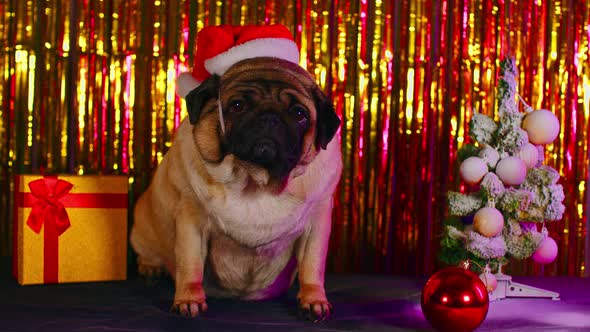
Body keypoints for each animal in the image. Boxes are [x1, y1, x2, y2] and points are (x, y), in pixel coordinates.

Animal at [130, 55, 342, 320]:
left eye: (299, 113)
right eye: (238, 105)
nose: (269, 116)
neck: (255, 181)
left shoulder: (316, 225)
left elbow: (312, 266)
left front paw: (314, 299)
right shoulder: (192, 222)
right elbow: (190, 265)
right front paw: (188, 299)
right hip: (143, 227)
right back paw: (150, 268)